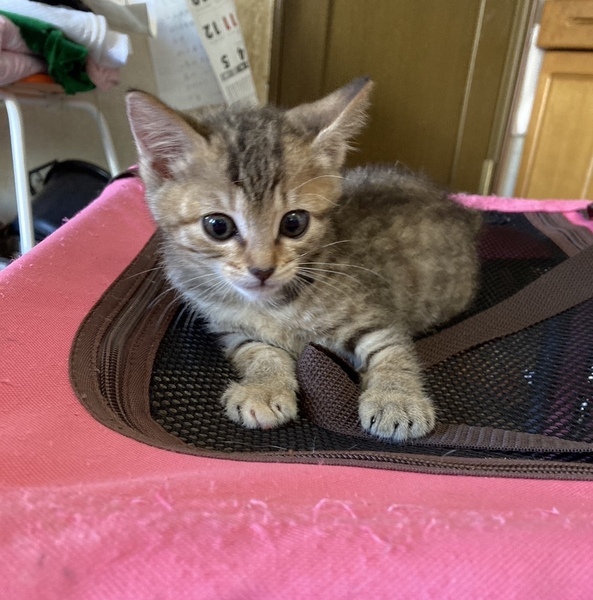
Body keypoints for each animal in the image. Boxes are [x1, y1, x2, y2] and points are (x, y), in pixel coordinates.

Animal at [125, 77, 481, 442]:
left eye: (294, 223)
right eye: (218, 226)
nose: (262, 269)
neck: (273, 306)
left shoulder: (371, 311)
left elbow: (390, 350)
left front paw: (397, 399)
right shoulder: (231, 328)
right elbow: (258, 351)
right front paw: (264, 388)